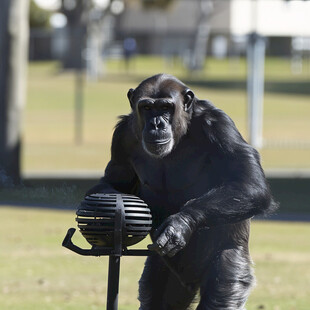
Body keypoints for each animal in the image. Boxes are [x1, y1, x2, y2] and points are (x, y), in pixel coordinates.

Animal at [86, 74, 278, 310]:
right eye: (147, 107)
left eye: (165, 107)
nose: (156, 123)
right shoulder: (121, 136)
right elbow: (113, 181)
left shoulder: (219, 125)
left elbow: (250, 183)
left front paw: (179, 225)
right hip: (163, 268)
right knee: (157, 298)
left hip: (230, 264)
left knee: (222, 289)